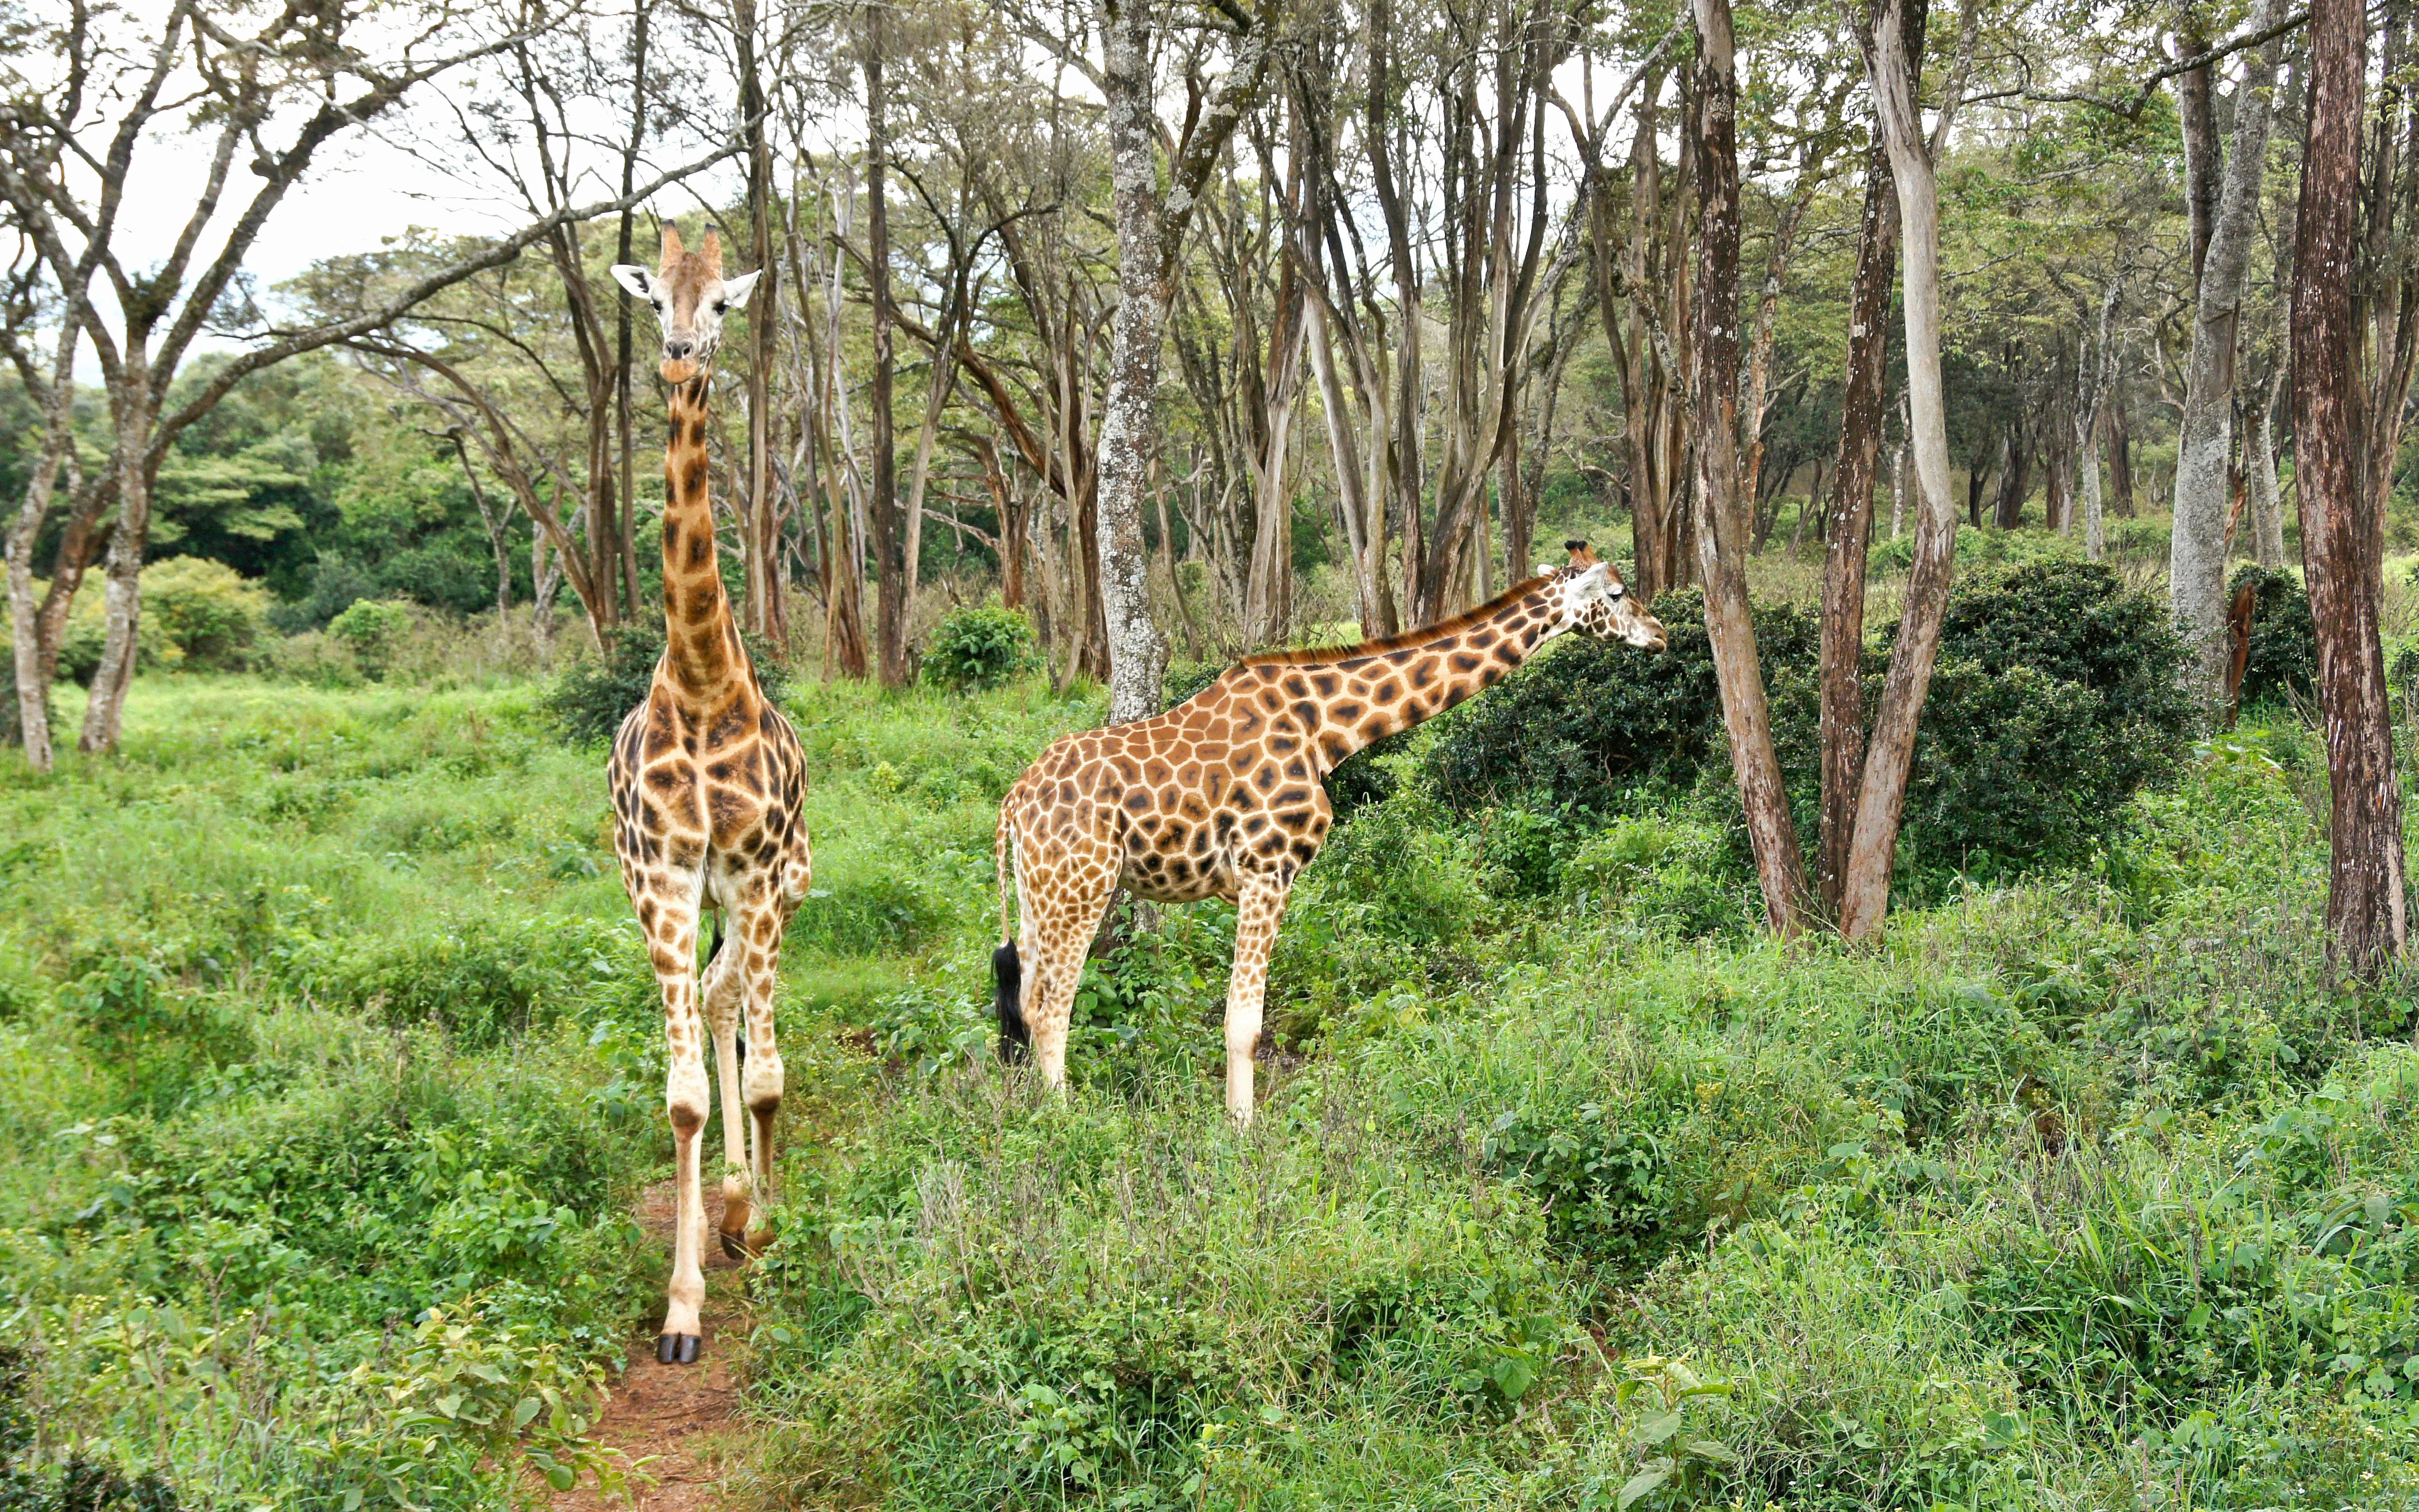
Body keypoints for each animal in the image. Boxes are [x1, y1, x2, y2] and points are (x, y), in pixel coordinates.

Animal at [992, 541, 1666, 1122]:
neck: (1325, 728)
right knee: (1051, 1009)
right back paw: (1068, 1126)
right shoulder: (1267, 868)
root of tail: (1012, 804)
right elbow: (1245, 1024)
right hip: (1081, 889)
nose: (1660, 633)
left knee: (1023, 1000)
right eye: (1617, 592)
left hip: (1039, 895)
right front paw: (1242, 1137)